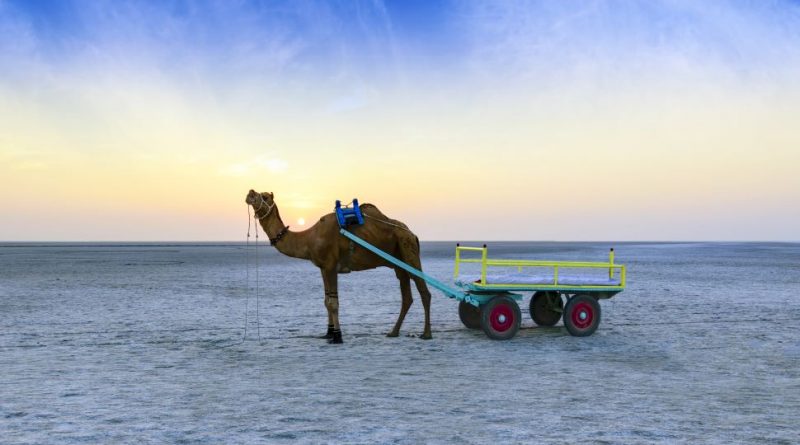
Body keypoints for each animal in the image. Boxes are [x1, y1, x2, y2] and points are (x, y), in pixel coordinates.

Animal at [245, 190, 434, 344]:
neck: (309, 238)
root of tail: (412, 233)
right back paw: (393, 332)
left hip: (408, 250)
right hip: (398, 261)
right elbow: (326, 300)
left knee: (424, 291)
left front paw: (337, 336)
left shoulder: (330, 265)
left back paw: (426, 334)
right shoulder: (322, 268)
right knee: (407, 296)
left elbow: (333, 302)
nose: (250, 192)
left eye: (265, 196)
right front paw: (328, 333)